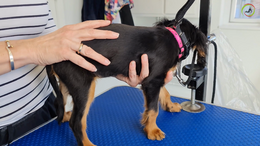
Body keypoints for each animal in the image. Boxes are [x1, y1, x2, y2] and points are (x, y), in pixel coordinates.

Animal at [45, 17, 207, 145]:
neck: (175, 35)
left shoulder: (153, 78)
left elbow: (164, 92)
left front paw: (170, 106)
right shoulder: (153, 81)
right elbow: (153, 109)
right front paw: (152, 130)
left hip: (67, 82)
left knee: (59, 102)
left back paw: (65, 116)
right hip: (83, 85)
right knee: (77, 122)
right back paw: (87, 143)